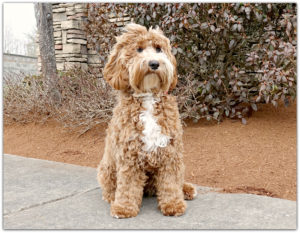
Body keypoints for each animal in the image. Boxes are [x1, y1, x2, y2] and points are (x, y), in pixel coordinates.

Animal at [97, 23, 197, 218]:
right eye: (139, 49)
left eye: (158, 49)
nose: (154, 63)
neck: (148, 97)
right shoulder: (128, 154)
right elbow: (127, 185)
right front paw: (124, 207)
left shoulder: (170, 151)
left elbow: (171, 182)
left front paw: (173, 204)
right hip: (107, 168)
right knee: (110, 186)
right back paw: (112, 197)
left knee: (178, 180)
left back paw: (186, 189)